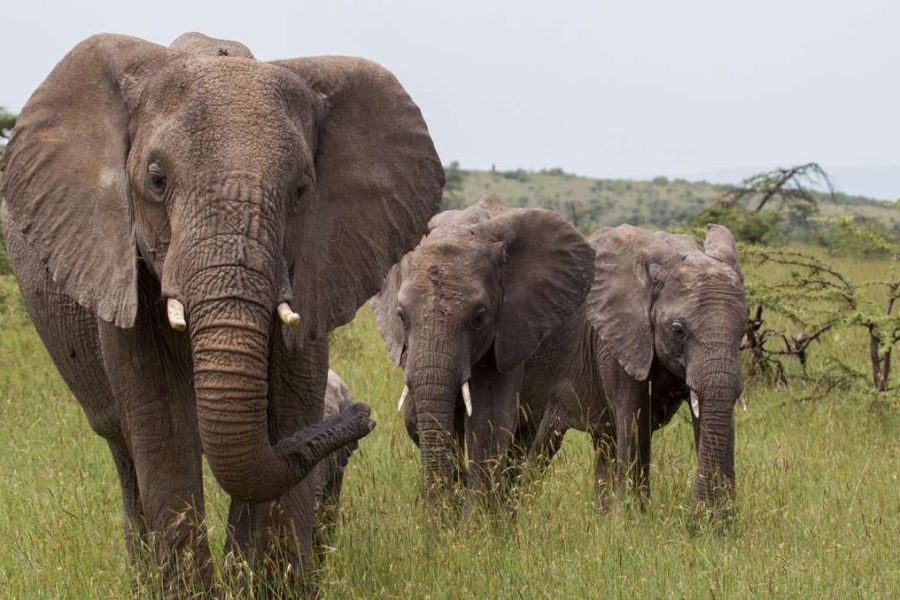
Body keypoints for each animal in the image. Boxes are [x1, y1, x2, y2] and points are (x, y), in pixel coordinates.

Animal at [1, 31, 443, 592]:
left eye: (302, 190)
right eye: (156, 180)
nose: (364, 414)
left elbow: (290, 405)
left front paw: (269, 588)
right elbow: (163, 420)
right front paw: (194, 593)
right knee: (124, 449)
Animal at [371, 195, 597, 510]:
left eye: (478, 318)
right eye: (402, 317)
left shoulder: (513, 326)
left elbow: (488, 423)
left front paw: (474, 522)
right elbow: (416, 419)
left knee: (522, 438)